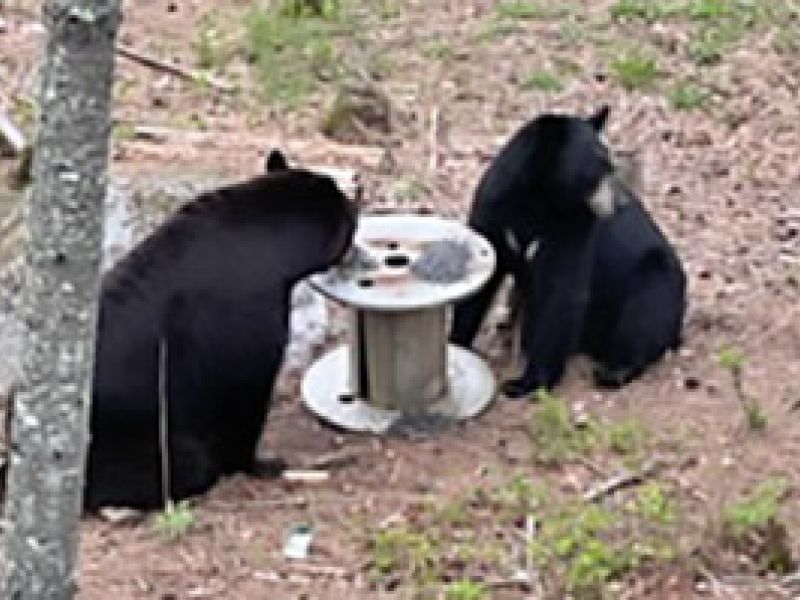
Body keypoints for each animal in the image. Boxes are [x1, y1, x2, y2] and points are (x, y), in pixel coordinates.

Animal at [84, 150, 356, 510]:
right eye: (344, 211)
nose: (357, 205)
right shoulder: (251, 323)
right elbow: (244, 401)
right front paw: (261, 464)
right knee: (183, 464)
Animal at [450, 106, 686, 398]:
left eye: (611, 166)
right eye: (598, 169)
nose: (621, 202)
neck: (541, 197)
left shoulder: (573, 227)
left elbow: (561, 289)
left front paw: (525, 382)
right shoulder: (494, 209)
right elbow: (482, 279)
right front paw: (457, 345)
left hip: (657, 276)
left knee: (646, 311)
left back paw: (614, 370)